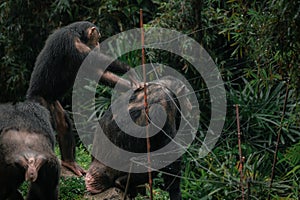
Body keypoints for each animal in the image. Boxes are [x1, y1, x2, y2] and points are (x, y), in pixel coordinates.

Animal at [26, 21, 142, 176]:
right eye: (97, 37)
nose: (98, 43)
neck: (78, 33)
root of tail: (30, 97)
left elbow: (100, 73)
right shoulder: (72, 42)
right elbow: (94, 59)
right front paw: (129, 70)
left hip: (52, 102)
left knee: (63, 123)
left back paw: (70, 163)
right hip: (41, 103)